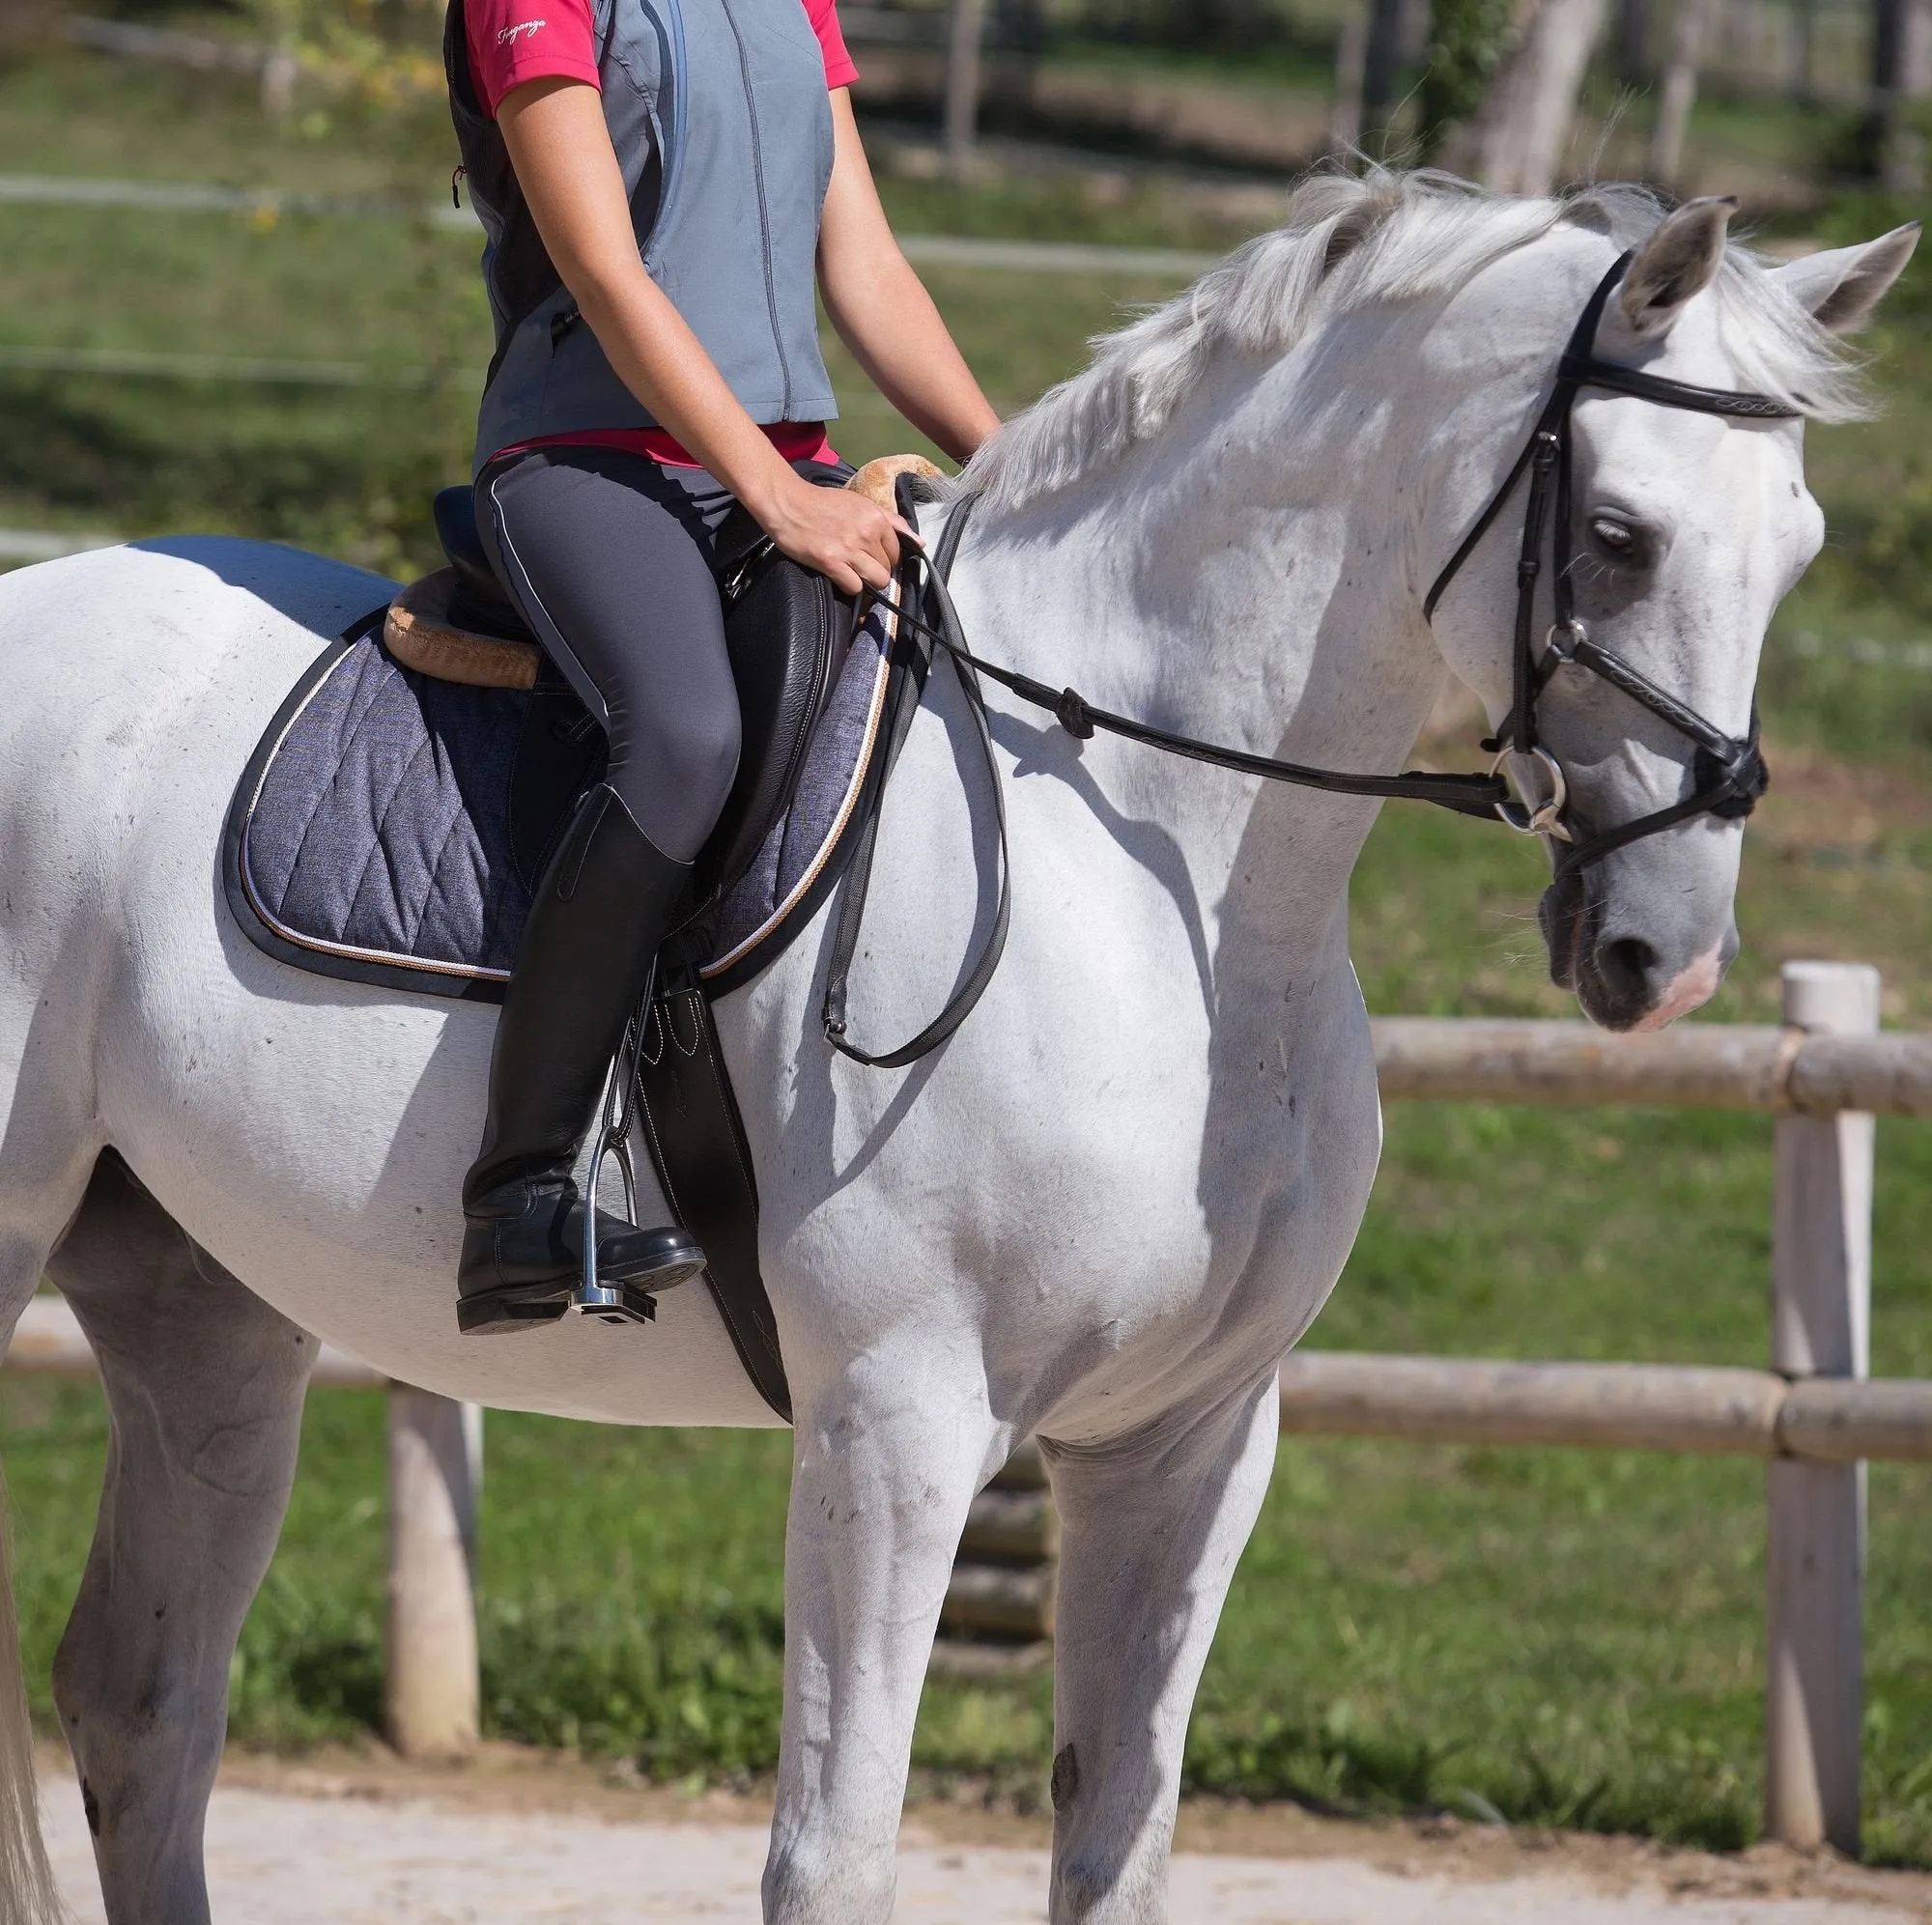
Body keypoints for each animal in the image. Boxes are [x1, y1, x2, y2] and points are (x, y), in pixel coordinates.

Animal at [0, 173, 1909, 1916]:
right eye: (1620, 535)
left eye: (1803, 548)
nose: (1668, 952)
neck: (1160, 858)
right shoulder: (897, 1420)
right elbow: (833, 1858)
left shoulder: (1190, 1438)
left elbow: (1117, 1847)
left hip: (201, 1305)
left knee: (140, 1705)